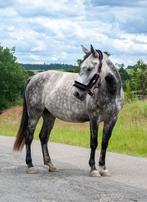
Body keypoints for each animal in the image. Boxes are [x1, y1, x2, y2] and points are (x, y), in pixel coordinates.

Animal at [13, 45, 124, 176]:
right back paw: (30, 166)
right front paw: (93, 169)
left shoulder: (111, 120)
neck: (110, 93)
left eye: (89, 68)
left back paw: (50, 165)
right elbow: (94, 143)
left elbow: (104, 143)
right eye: (82, 67)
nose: (77, 93)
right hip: (34, 114)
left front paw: (103, 168)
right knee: (29, 137)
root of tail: (33, 77)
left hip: (49, 116)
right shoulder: (94, 119)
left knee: (43, 137)